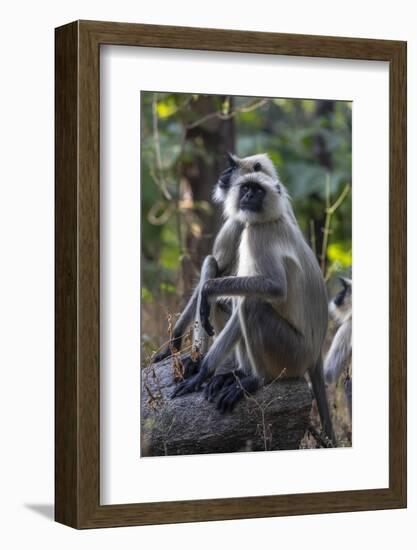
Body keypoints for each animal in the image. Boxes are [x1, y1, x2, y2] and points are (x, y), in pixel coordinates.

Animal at [172, 157, 334, 446]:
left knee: (249, 303)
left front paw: (201, 371)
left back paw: (255, 379)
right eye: (246, 188)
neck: (274, 217)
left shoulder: (253, 232)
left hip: (292, 352)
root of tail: (315, 355)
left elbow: (273, 287)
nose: (246, 196)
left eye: (257, 190)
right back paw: (234, 373)